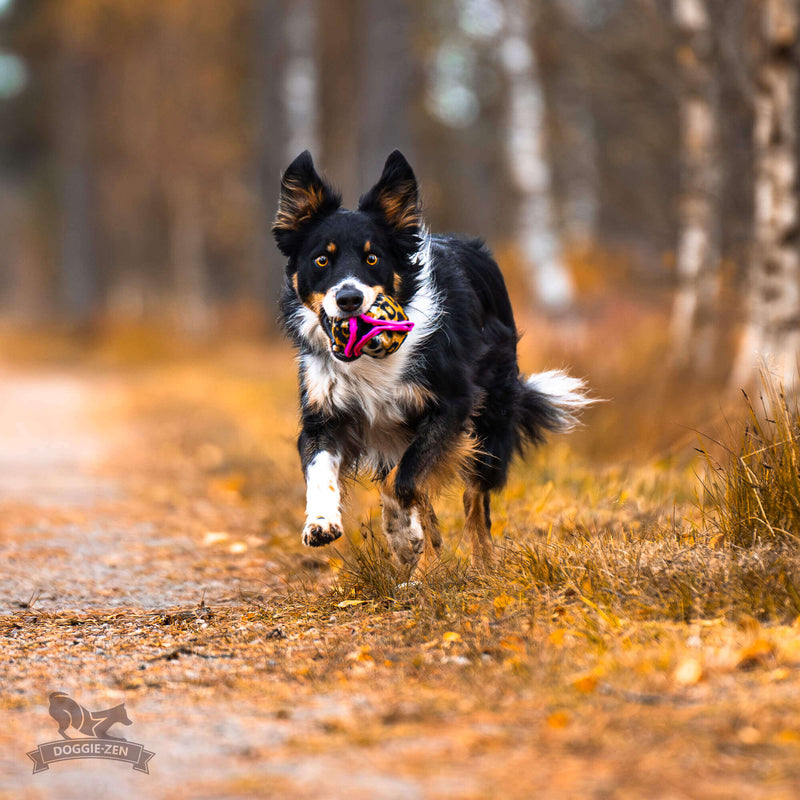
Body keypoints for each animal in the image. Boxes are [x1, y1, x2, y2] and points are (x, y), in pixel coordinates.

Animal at [272, 150, 592, 568]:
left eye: (372, 258)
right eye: (322, 261)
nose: (349, 299)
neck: (368, 360)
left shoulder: (452, 405)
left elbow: (403, 480)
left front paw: (403, 533)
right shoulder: (324, 413)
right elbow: (320, 470)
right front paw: (322, 522)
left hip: (490, 418)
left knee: (474, 499)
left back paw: (479, 564)